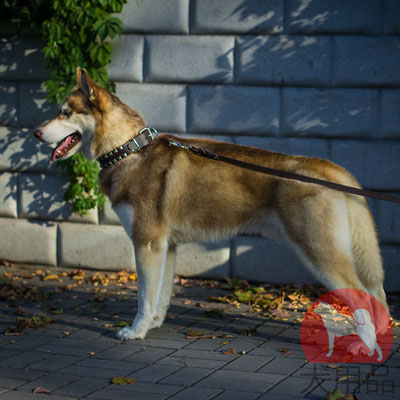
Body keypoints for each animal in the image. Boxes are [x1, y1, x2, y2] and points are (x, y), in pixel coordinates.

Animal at [32, 67, 390, 340]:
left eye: (64, 113)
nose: (35, 132)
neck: (129, 149)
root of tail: (330, 169)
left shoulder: (146, 244)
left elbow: (144, 297)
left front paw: (136, 331)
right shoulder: (166, 247)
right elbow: (161, 295)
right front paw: (154, 325)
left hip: (319, 253)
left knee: (362, 297)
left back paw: (365, 345)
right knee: (377, 295)